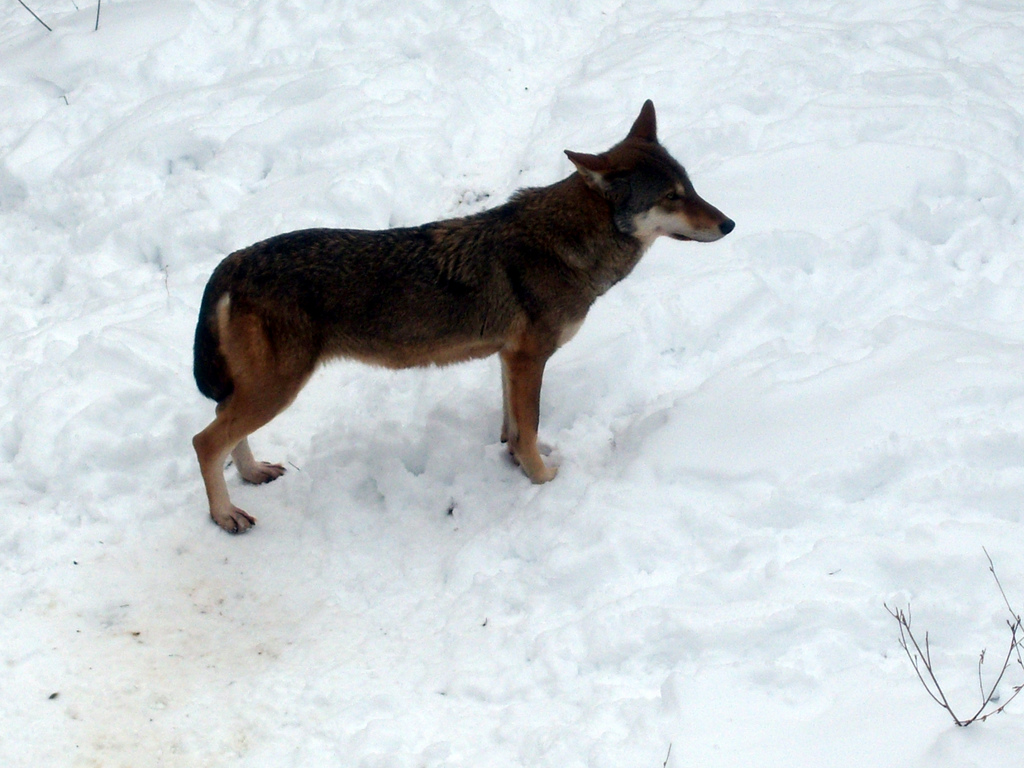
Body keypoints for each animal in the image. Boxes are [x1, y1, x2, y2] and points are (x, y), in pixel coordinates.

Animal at [193, 100, 734, 532]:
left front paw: (516, 463)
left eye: (691, 187)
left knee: (222, 425)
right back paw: (225, 516)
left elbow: (514, 426)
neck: (568, 245)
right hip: (278, 389)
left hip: (261, 389)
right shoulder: (529, 358)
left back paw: (252, 474)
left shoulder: (508, 358)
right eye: (670, 197)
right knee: (205, 440)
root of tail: (235, 260)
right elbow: (530, 426)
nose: (729, 223)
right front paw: (542, 478)